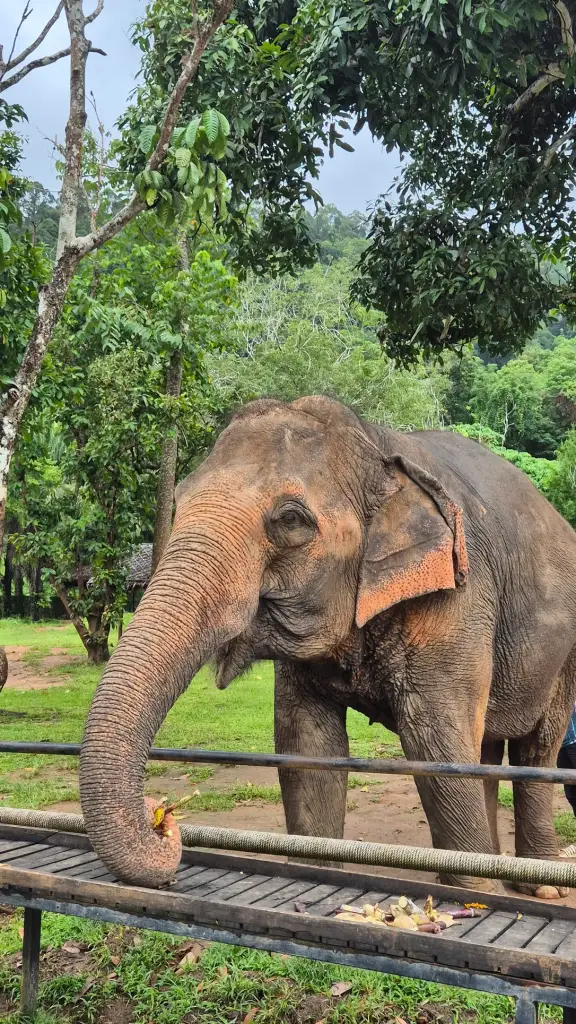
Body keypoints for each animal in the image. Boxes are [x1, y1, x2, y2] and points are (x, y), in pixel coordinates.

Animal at [80, 395, 576, 895]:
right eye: (178, 502)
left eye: (290, 519)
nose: (163, 819)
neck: (377, 443)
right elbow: (306, 743)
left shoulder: (457, 596)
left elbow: (437, 746)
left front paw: (471, 895)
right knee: (489, 749)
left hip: (568, 651)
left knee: (537, 751)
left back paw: (539, 887)